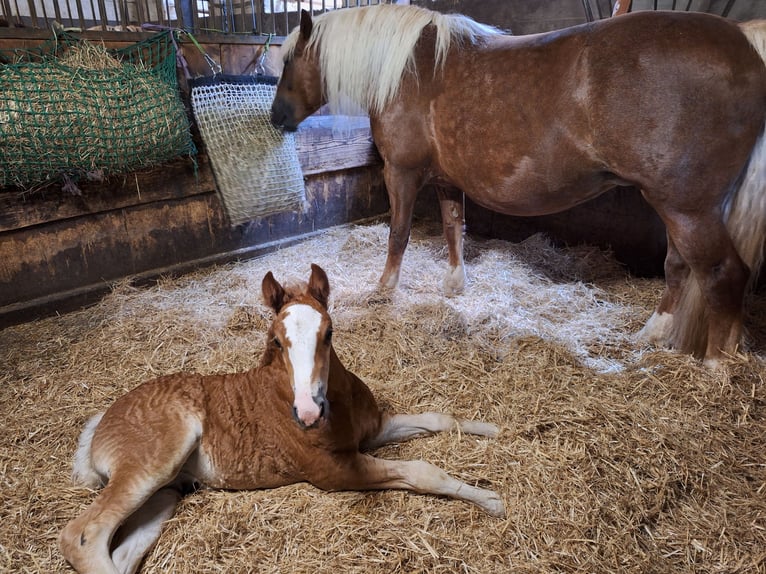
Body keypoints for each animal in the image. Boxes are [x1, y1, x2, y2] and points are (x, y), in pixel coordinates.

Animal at [58, 265, 505, 574]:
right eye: (277, 340)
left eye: (329, 332)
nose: (308, 412)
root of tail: (100, 423)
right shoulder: (334, 470)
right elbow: (422, 471)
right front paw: (491, 500)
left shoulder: (372, 432)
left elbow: (437, 417)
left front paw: (493, 428)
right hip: (153, 462)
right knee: (82, 537)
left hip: (166, 492)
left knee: (120, 549)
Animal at [270, 5, 766, 367]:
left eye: (290, 60)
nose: (277, 117)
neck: (408, 68)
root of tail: (743, 39)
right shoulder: (447, 179)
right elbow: (453, 229)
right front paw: (454, 286)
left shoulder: (402, 172)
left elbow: (399, 233)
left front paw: (384, 289)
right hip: (676, 206)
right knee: (679, 266)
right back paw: (652, 334)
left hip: (687, 209)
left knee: (723, 275)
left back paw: (715, 368)